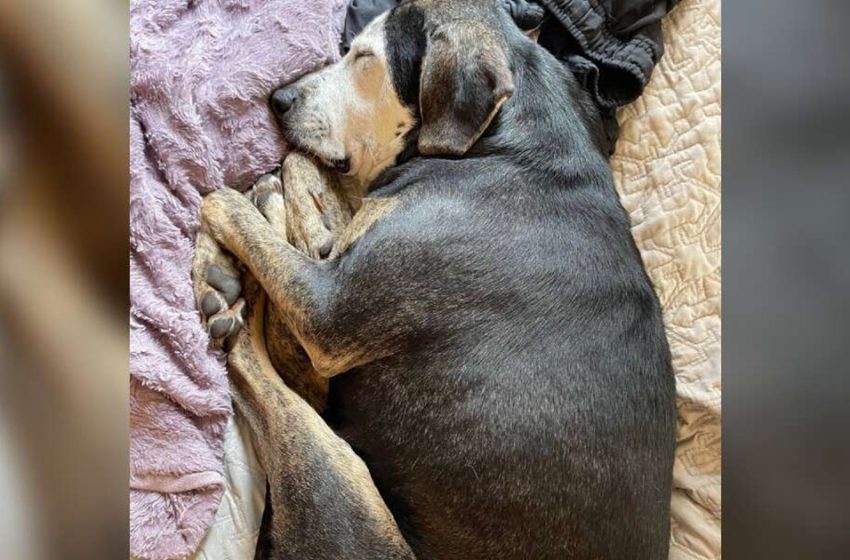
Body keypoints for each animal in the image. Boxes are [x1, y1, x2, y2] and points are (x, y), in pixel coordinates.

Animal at [192, 0, 676, 556]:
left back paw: (226, 280)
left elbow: (249, 202)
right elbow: (309, 190)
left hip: (339, 484)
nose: (279, 98)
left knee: (254, 366)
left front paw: (236, 215)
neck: (504, 142)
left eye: (364, 57)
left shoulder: (328, 315)